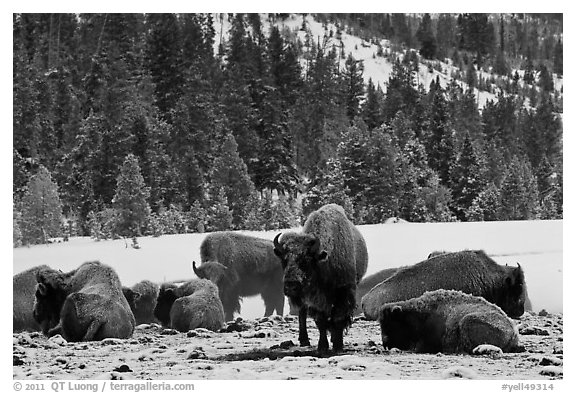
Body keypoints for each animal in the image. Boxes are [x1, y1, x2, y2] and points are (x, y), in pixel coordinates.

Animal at [272, 204, 366, 350]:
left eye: (306, 260)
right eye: (284, 260)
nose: (291, 286)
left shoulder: (344, 292)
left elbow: (338, 318)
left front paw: (338, 344)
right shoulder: (315, 299)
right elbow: (321, 321)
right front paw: (322, 347)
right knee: (302, 313)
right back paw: (304, 340)